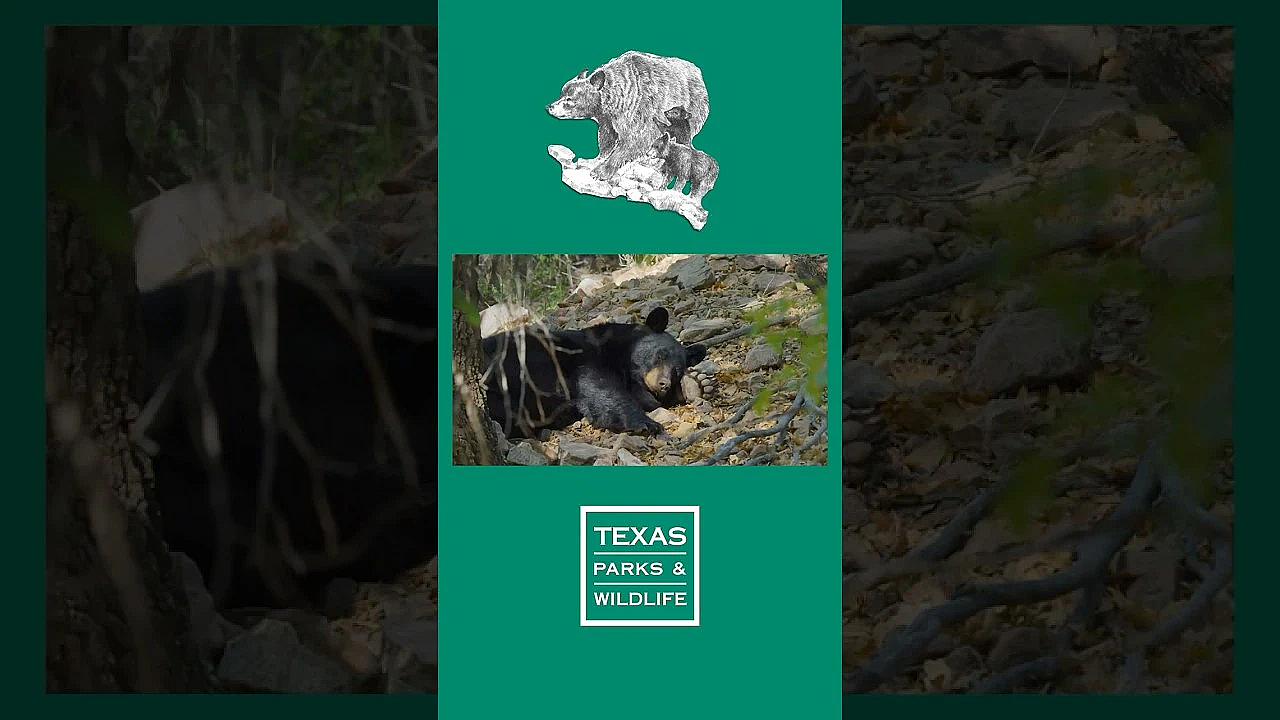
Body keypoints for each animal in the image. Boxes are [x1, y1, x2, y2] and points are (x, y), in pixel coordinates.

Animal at [482, 307, 708, 439]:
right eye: (659, 355)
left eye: (677, 370)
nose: (664, 384)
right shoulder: (583, 360)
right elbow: (600, 388)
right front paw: (647, 423)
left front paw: (696, 384)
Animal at [546, 51, 709, 182]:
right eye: (562, 93)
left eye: (570, 99)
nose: (549, 107)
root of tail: (698, 72)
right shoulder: (608, 118)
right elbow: (607, 137)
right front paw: (595, 159)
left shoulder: (639, 110)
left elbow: (634, 141)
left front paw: (600, 172)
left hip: (692, 109)